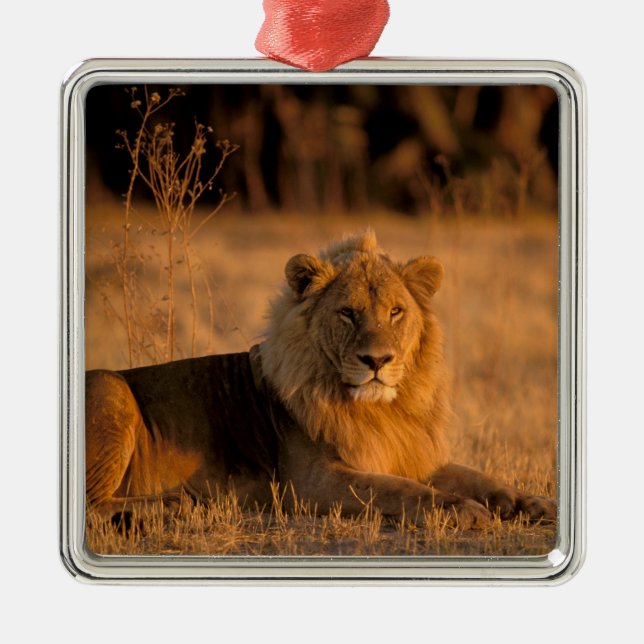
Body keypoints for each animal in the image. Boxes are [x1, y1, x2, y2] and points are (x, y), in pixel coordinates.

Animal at [86, 229, 555, 530]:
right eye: (347, 313)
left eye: (396, 312)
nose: (377, 360)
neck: (381, 410)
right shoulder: (311, 484)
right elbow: (398, 490)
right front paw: (461, 510)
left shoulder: (408, 452)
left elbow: (478, 476)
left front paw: (531, 503)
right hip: (111, 388)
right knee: (91, 505)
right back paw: (171, 507)